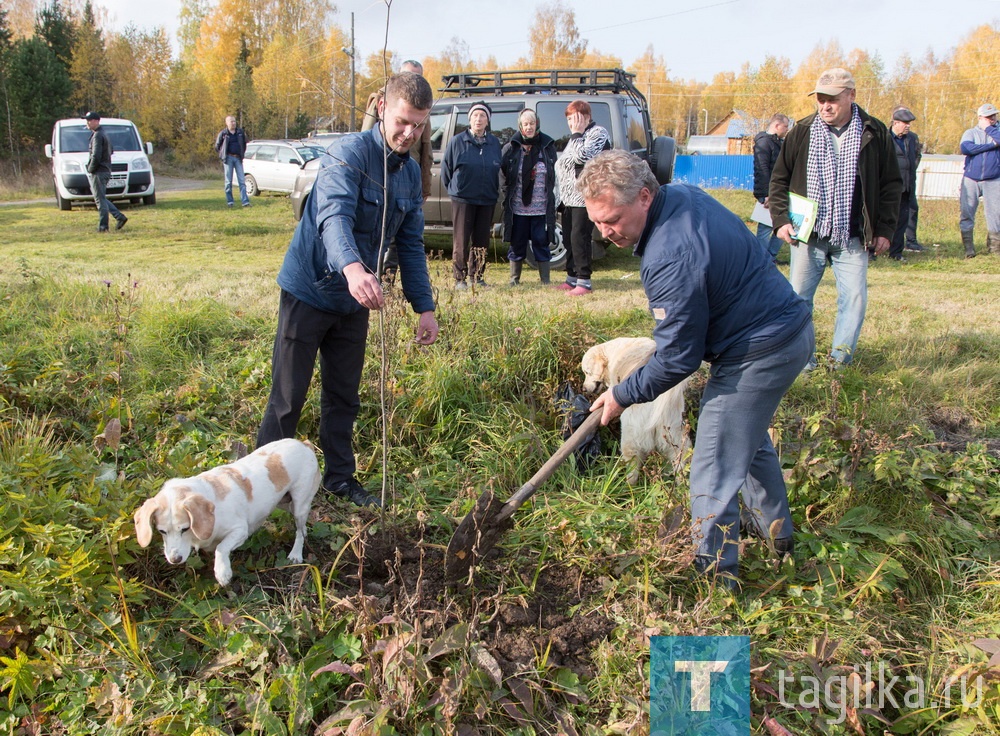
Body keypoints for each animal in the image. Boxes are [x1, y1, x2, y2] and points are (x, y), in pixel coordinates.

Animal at [134, 436, 320, 588]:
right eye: (162, 531)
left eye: (185, 529)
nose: (175, 559)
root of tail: (304, 444)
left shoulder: (240, 531)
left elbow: (221, 548)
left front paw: (222, 572)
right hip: (284, 503)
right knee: (303, 529)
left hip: (299, 506)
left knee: (300, 532)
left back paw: (296, 554)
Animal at [584, 336, 692, 486]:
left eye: (587, 372)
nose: (583, 388)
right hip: (675, 438)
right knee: (680, 462)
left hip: (630, 440)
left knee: (633, 468)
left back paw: (627, 487)